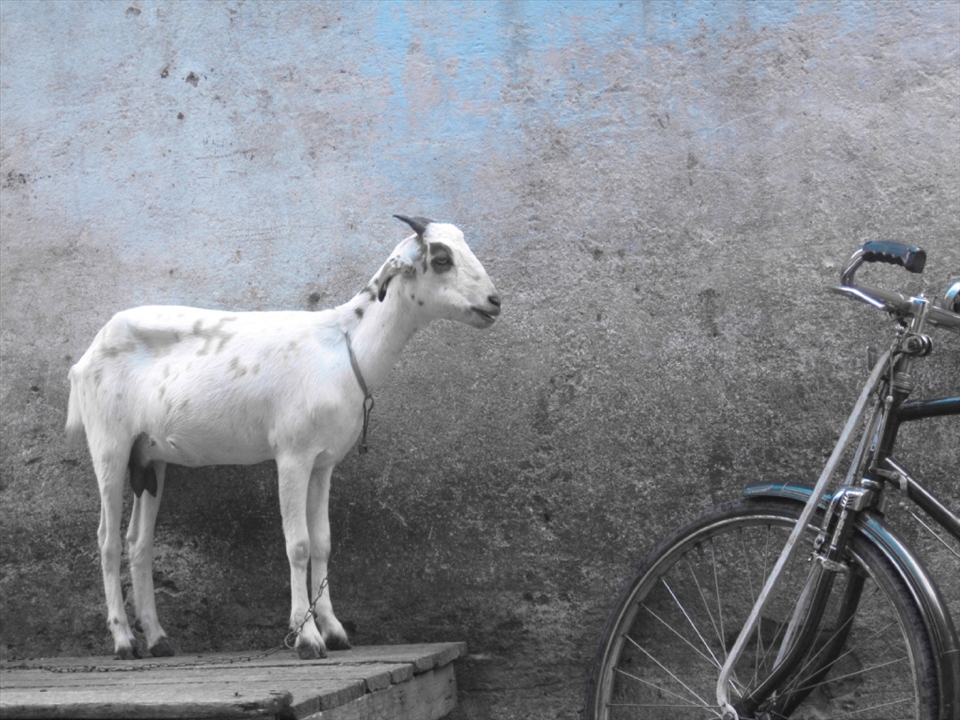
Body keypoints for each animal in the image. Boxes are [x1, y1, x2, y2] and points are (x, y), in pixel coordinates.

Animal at [65, 215, 501, 660]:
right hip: (109, 443)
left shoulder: (323, 462)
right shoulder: (292, 454)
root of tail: (84, 359)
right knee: (107, 541)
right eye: (442, 259)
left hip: (150, 458)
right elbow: (299, 544)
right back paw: (123, 640)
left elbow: (323, 542)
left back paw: (157, 639)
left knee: (139, 542)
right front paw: (306, 637)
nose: (494, 302)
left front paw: (334, 630)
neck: (344, 347)